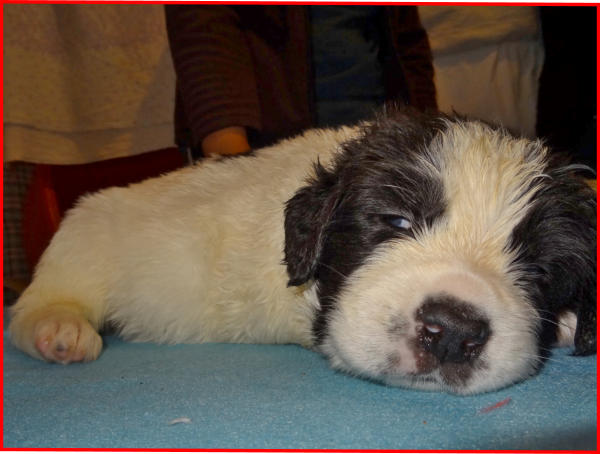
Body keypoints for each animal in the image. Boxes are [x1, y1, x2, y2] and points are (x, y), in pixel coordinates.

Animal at [8, 108, 596, 395]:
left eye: (538, 269)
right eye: (396, 221)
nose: (451, 331)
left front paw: (572, 324)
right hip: (83, 244)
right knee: (33, 307)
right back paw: (58, 329)